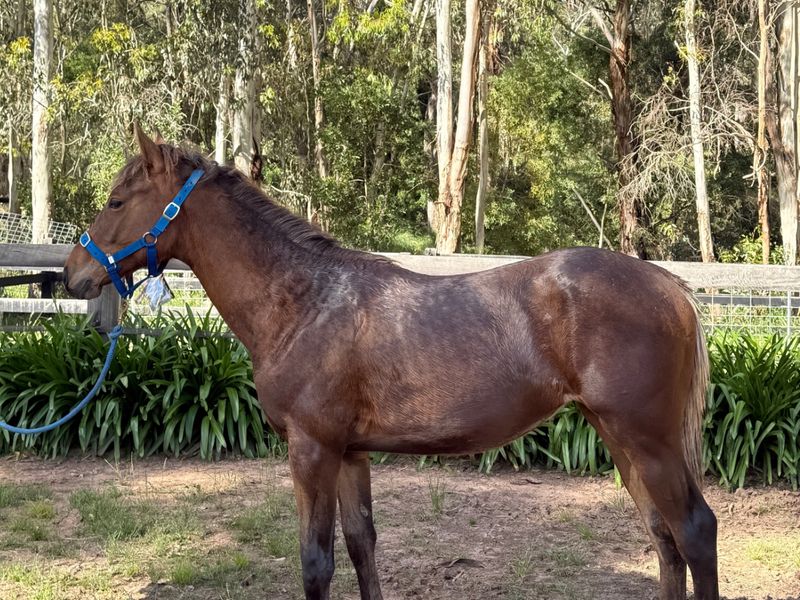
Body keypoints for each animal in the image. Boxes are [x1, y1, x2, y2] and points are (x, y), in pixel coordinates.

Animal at [64, 127, 719, 600]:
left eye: (117, 201)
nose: (73, 275)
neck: (305, 301)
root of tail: (670, 285)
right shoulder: (350, 454)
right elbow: (362, 547)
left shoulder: (312, 449)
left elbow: (316, 562)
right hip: (619, 439)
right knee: (664, 540)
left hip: (648, 441)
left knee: (694, 532)